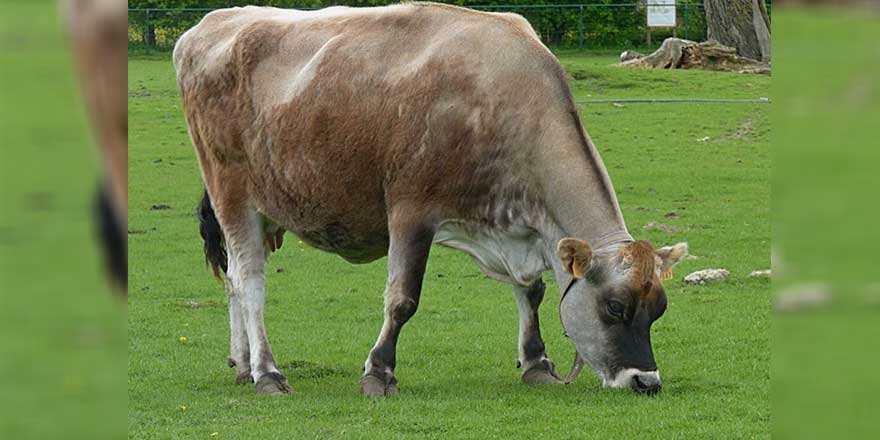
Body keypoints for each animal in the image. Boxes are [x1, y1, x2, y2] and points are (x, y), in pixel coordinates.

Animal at [175, 1, 692, 398]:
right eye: (615, 307)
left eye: (658, 309)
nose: (646, 381)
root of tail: (213, 23)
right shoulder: (411, 211)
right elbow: (402, 299)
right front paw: (379, 373)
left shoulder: (519, 228)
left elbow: (533, 291)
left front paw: (537, 363)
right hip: (231, 193)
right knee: (249, 280)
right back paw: (267, 372)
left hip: (267, 207)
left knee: (234, 280)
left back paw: (243, 364)